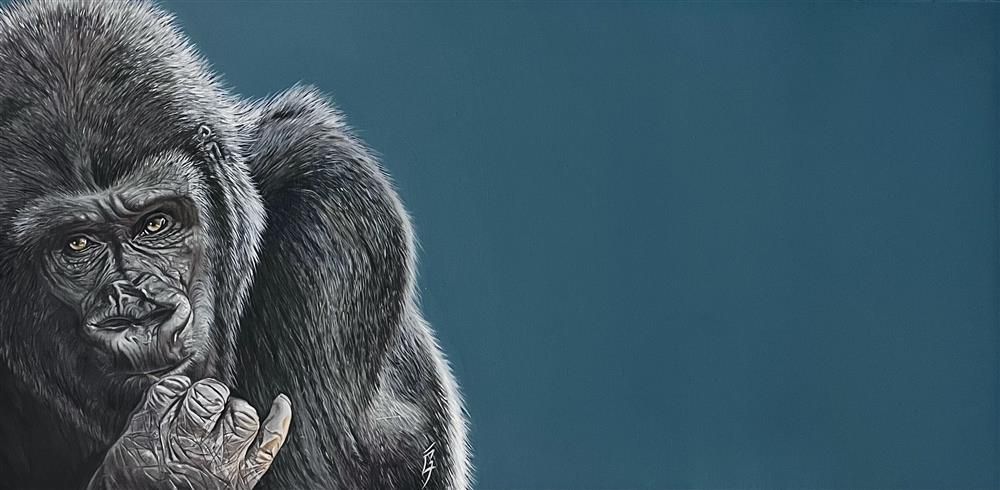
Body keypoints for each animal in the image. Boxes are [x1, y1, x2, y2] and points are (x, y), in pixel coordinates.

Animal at [0, 1, 471, 488]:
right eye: (77, 245)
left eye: (156, 223)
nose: (141, 315)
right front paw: (167, 462)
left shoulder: (336, 205)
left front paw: (175, 457)